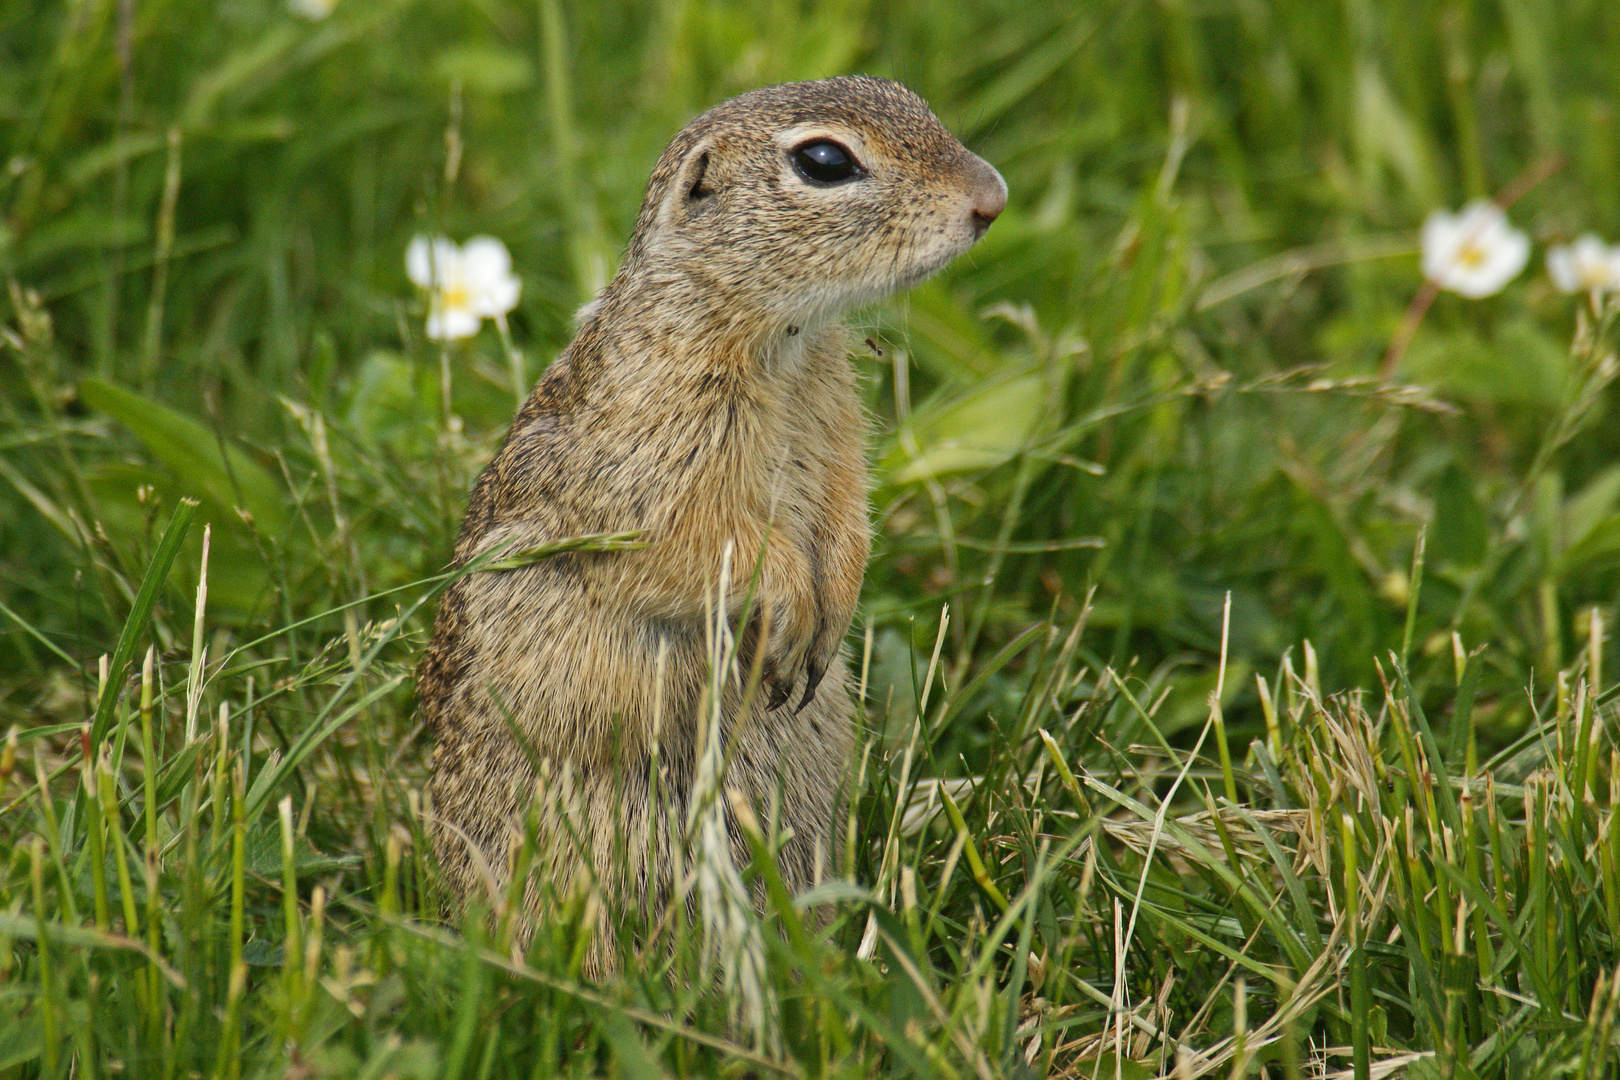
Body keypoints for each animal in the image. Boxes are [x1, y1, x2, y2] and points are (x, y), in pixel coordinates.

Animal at [414, 74, 997, 965]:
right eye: (824, 161)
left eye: (907, 95)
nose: (992, 199)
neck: (779, 338)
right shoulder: (656, 460)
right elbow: (701, 543)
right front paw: (788, 601)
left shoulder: (836, 427)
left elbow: (847, 517)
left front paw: (833, 604)